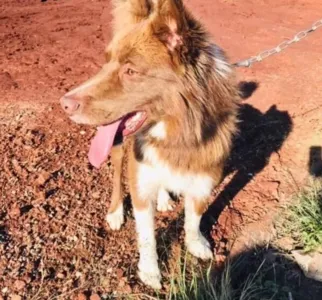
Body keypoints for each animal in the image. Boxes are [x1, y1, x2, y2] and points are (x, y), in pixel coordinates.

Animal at [59, 0, 239, 290]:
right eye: (106, 63)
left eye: (130, 71)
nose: (64, 104)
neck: (176, 136)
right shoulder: (140, 182)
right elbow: (147, 236)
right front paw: (150, 272)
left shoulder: (204, 177)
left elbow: (194, 218)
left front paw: (196, 244)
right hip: (118, 150)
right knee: (116, 180)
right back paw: (116, 213)